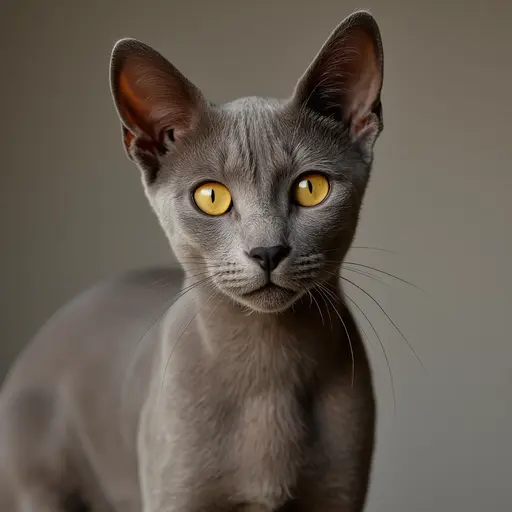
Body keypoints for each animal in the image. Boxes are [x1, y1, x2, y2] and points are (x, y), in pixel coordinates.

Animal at [0, 9, 384, 512]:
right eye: (211, 197)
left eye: (311, 188)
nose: (267, 250)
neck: (268, 374)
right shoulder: (177, 496)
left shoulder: (339, 495)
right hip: (42, 485)